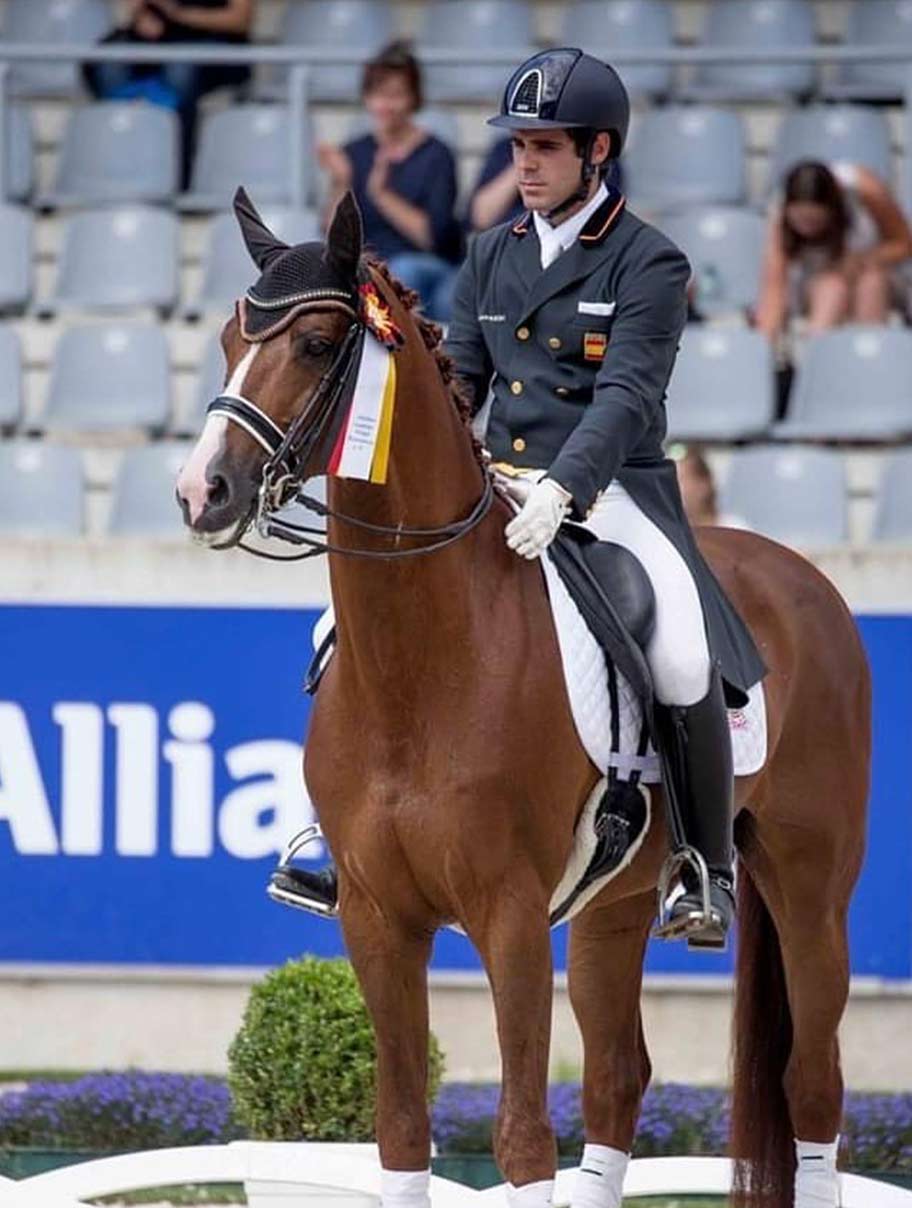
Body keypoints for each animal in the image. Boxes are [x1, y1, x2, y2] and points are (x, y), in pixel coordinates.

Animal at [178, 198, 869, 1208]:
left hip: (810, 889)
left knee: (813, 1081)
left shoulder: (507, 916)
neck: (424, 664)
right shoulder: (376, 921)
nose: (203, 492)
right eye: (232, 339)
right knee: (619, 1077)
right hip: (618, 905)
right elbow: (401, 1131)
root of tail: (803, 578)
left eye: (313, 343)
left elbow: (520, 1140)